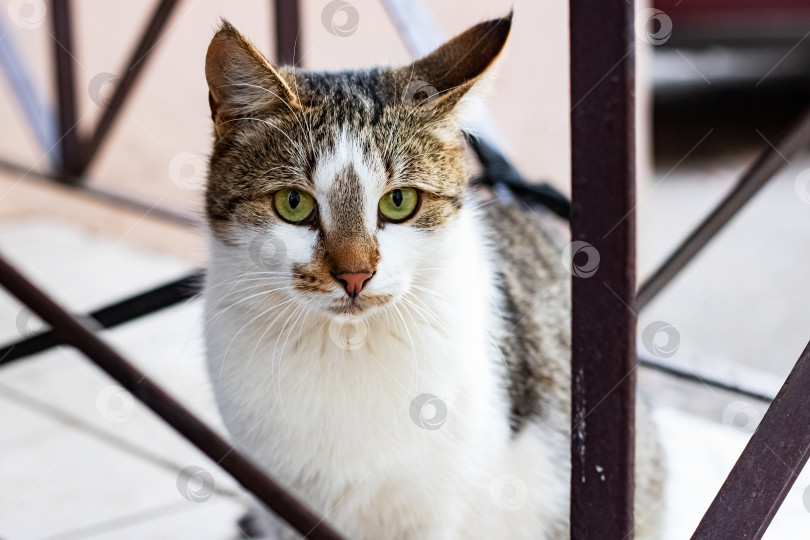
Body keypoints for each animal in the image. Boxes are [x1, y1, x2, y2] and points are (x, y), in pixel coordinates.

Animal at [202, 15, 664, 540]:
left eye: (399, 202)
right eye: (293, 203)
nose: (355, 274)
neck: (345, 346)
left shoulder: (441, 508)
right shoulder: (278, 499)